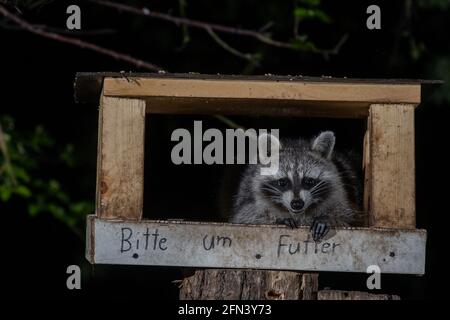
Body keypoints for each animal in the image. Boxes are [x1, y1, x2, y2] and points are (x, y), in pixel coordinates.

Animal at [230, 131, 364, 241]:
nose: (297, 204)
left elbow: (351, 217)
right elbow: (245, 217)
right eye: (283, 182)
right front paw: (278, 219)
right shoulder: (249, 201)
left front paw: (328, 218)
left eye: (309, 181)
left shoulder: (343, 198)